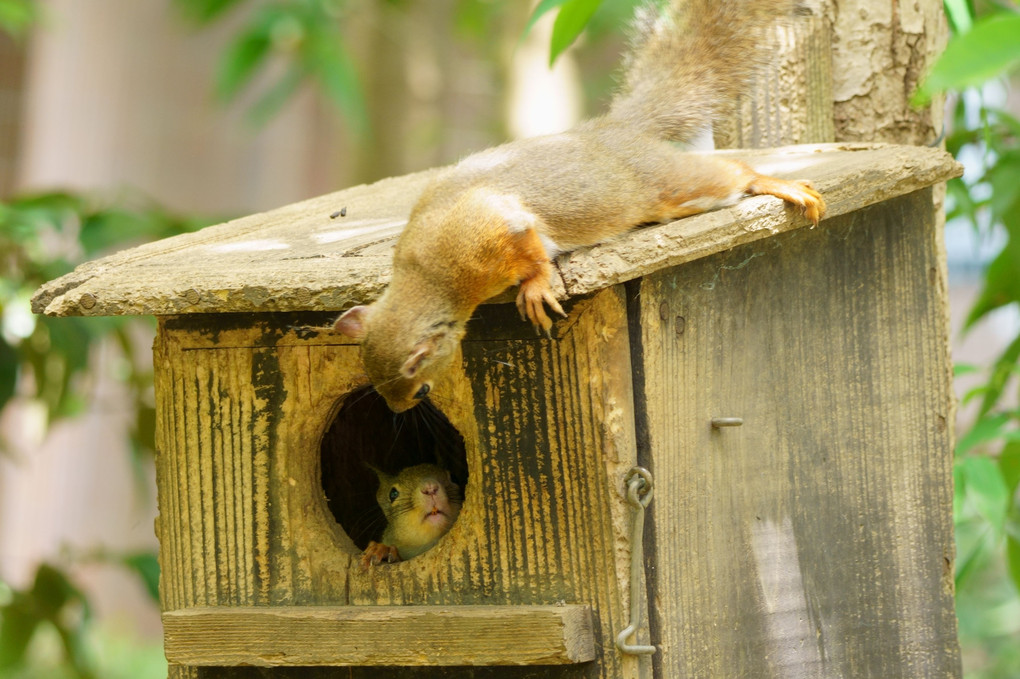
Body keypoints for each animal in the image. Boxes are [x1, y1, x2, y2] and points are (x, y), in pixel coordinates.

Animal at [336, 0, 828, 411]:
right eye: (375, 382)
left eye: (419, 388)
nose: (402, 410)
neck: (427, 278)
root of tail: (614, 130)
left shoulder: (490, 232)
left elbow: (530, 247)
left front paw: (536, 287)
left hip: (669, 185)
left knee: (733, 173)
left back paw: (779, 184)